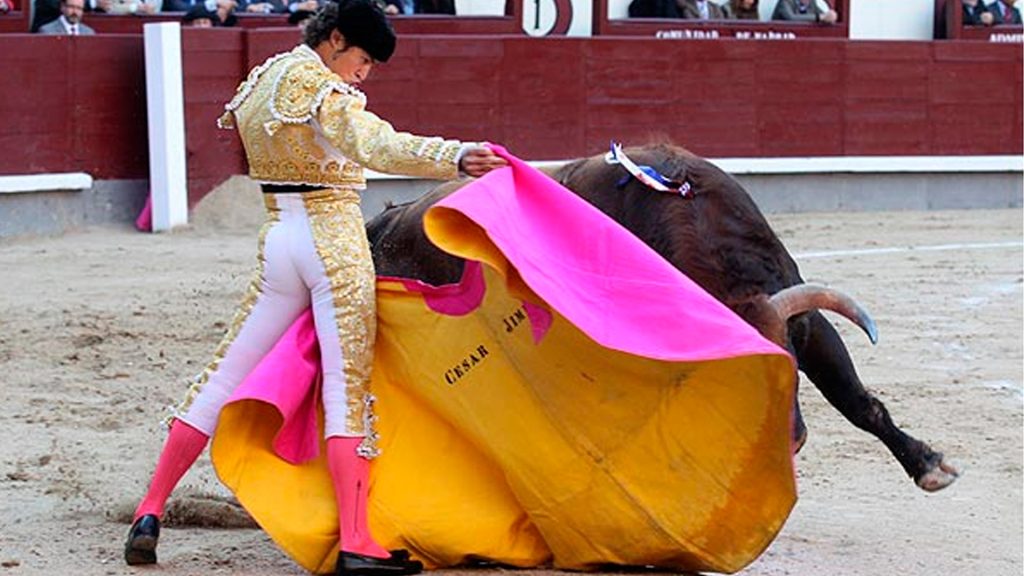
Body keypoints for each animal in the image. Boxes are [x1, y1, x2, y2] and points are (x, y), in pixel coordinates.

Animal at [366, 142, 958, 487]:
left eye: (788, 363)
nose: (789, 442)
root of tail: (385, 221)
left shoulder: (809, 326)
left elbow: (860, 403)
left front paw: (930, 465)